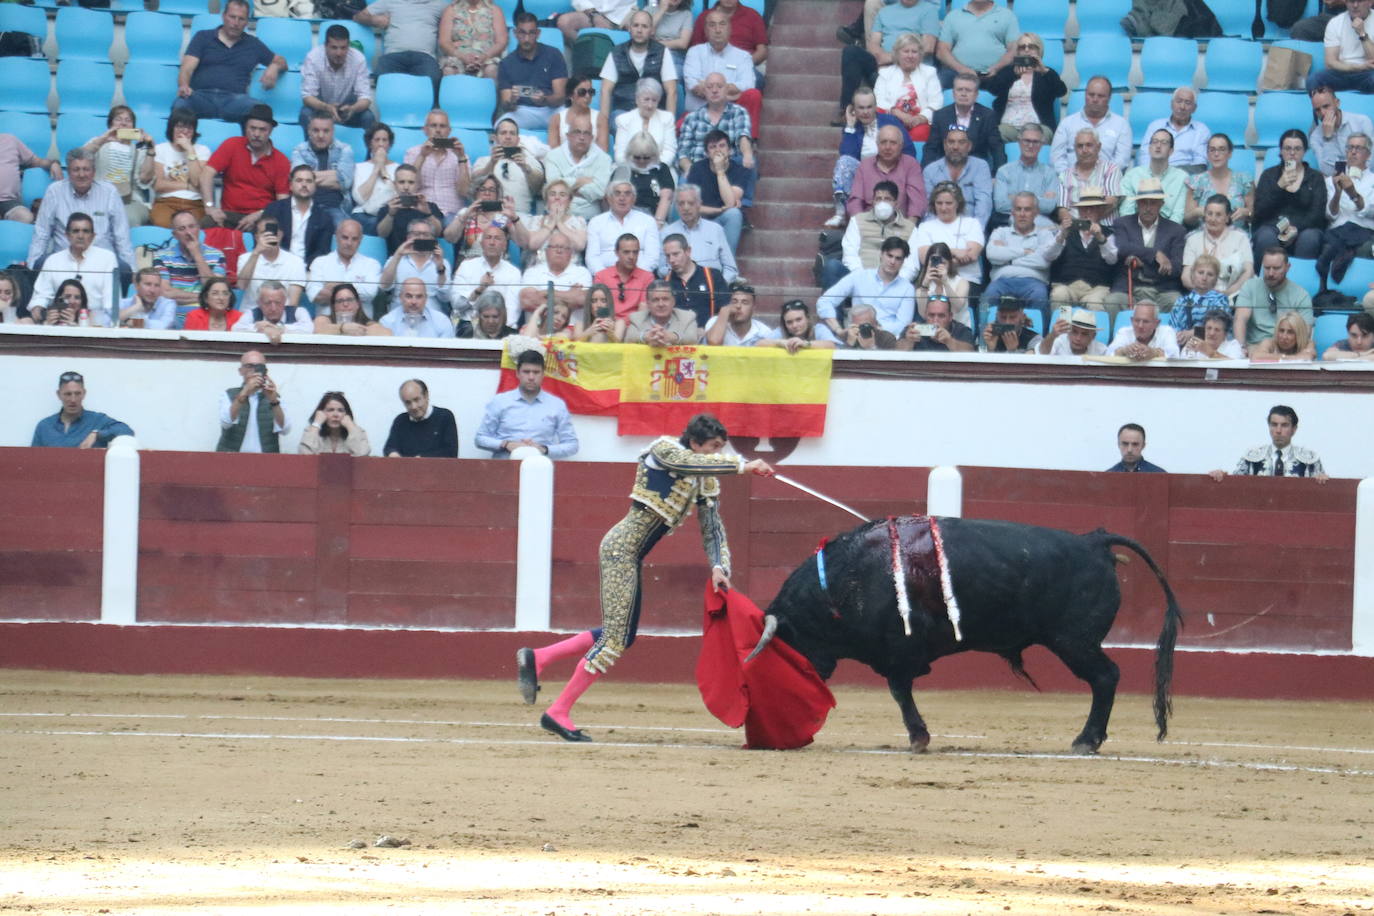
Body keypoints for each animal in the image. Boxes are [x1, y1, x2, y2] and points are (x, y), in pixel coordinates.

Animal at [747, 519, 1187, 758]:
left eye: (787, 645)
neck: (839, 582)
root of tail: (1093, 541)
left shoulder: (899, 650)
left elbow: (899, 691)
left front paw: (918, 738)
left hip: (1074, 641)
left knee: (1106, 677)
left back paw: (1086, 740)